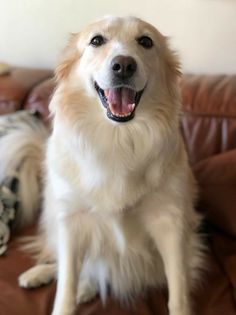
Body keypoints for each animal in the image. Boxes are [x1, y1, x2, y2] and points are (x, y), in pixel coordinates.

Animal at [17, 15, 204, 315]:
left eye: (146, 41)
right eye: (96, 40)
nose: (124, 65)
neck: (117, 140)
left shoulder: (170, 222)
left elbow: (178, 288)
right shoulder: (71, 223)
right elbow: (66, 285)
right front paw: (65, 298)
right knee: (68, 266)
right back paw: (40, 275)